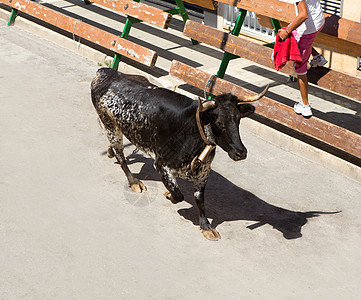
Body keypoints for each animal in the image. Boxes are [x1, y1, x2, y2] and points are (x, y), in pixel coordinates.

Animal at [90, 67, 268, 240]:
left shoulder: (203, 172)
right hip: (110, 126)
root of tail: (105, 72)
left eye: (238, 120)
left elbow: (199, 198)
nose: (241, 152)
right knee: (121, 155)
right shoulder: (161, 165)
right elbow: (178, 194)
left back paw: (110, 152)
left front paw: (206, 226)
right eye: (219, 123)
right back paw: (133, 181)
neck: (193, 131)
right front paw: (169, 195)